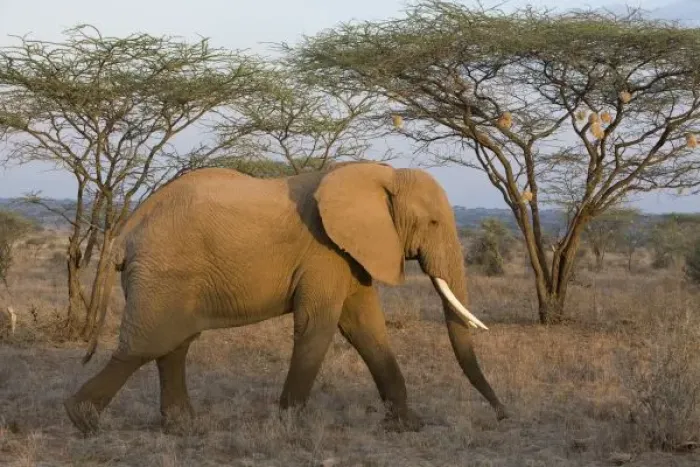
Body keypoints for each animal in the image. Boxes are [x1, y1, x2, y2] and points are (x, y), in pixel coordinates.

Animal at [64, 161, 507, 435]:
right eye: (432, 222)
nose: (503, 415)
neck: (377, 173)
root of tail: (128, 227)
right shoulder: (324, 251)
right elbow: (319, 326)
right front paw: (289, 426)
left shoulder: (350, 253)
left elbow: (367, 329)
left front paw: (407, 427)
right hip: (164, 271)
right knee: (145, 346)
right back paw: (82, 422)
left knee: (174, 345)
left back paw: (183, 429)